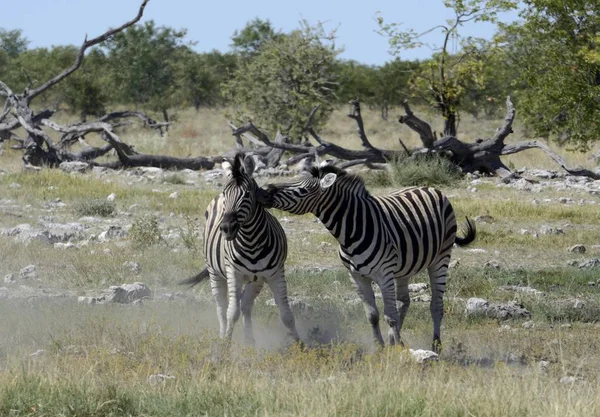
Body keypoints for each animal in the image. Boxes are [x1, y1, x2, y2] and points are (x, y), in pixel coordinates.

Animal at [178, 153, 300, 344]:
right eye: (225, 193)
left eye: (248, 194)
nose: (227, 228)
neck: (251, 242)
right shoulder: (233, 273)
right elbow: (231, 313)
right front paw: (226, 346)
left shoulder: (276, 274)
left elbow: (287, 315)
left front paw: (299, 344)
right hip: (215, 273)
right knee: (222, 308)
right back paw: (222, 336)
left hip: (256, 280)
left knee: (246, 305)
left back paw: (250, 341)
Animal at [260, 162, 476, 352]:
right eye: (292, 179)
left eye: (303, 190)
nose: (264, 191)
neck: (349, 232)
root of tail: (429, 187)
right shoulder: (356, 277)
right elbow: (372, 315)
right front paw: (380, 346)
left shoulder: (384, 274)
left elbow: (390, 315)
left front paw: (399, 347)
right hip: (403, 268)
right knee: (403, 301)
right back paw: (393, 338)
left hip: (441, 258)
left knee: (436, 305)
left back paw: (435, 346)